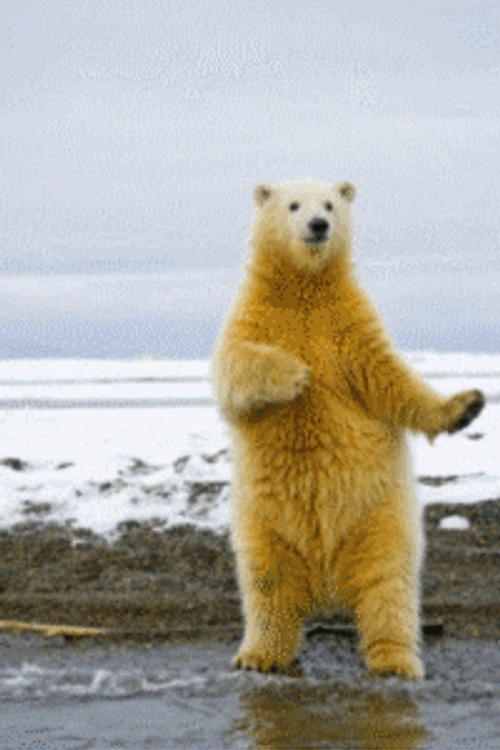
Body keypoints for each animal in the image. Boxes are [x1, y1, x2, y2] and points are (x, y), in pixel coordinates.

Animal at [211, 179, 485, 679]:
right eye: (293, 205)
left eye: (331, 203)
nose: (319, 225)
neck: (306, 287)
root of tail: (326, 581)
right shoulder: (254, 316)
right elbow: (235, 365)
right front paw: (295, 374)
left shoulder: (350, 329)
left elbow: (392, 379)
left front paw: (467, 404)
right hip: (264, 522)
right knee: (266, 583)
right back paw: (260, 655)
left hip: (379, 517)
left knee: (388, 584)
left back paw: (395, 661)